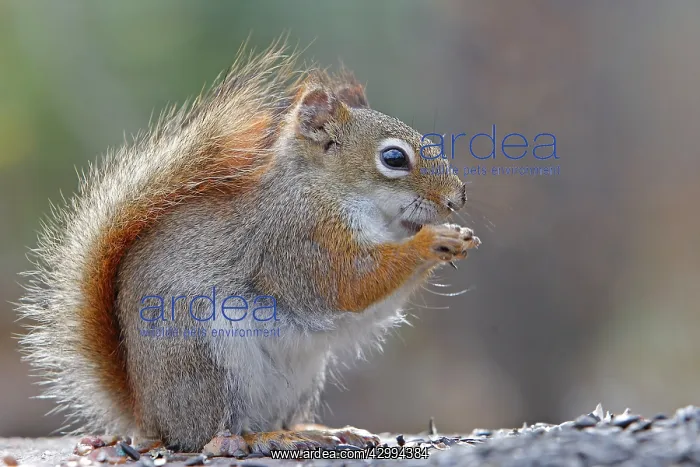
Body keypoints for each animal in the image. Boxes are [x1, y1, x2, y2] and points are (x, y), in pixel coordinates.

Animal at [16, 41, 480, 457]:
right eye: (394, 159)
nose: (457, 198)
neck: (329, 190)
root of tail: (148, 417)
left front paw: (458, 238)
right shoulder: (297, 238)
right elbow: (348, 283)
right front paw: (433, 240)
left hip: (302, 377)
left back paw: (318, 431)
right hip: (208, 357)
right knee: (210, 435)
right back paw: (263, 439)